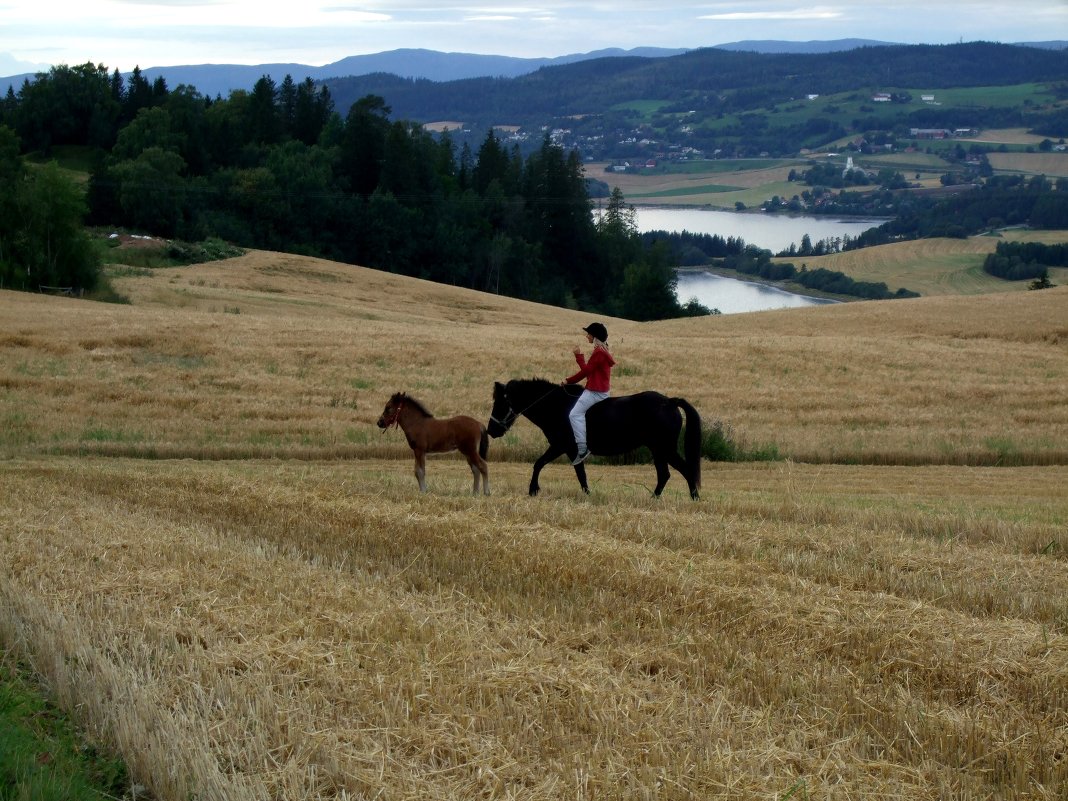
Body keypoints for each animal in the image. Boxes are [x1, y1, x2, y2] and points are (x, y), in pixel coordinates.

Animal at [487, 380, 700, 499]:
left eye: (500, 402)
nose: (491, 430)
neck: (555, 405)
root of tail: (670, 402)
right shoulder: (570, 450)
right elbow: (579, 473)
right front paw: (588, 494)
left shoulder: (561, 446)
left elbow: (539, 464)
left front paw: (533, 490)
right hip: (658, 450)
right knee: (666, 474)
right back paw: (655, 498)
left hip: (664, 448)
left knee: (684, 470)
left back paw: (694, 499)